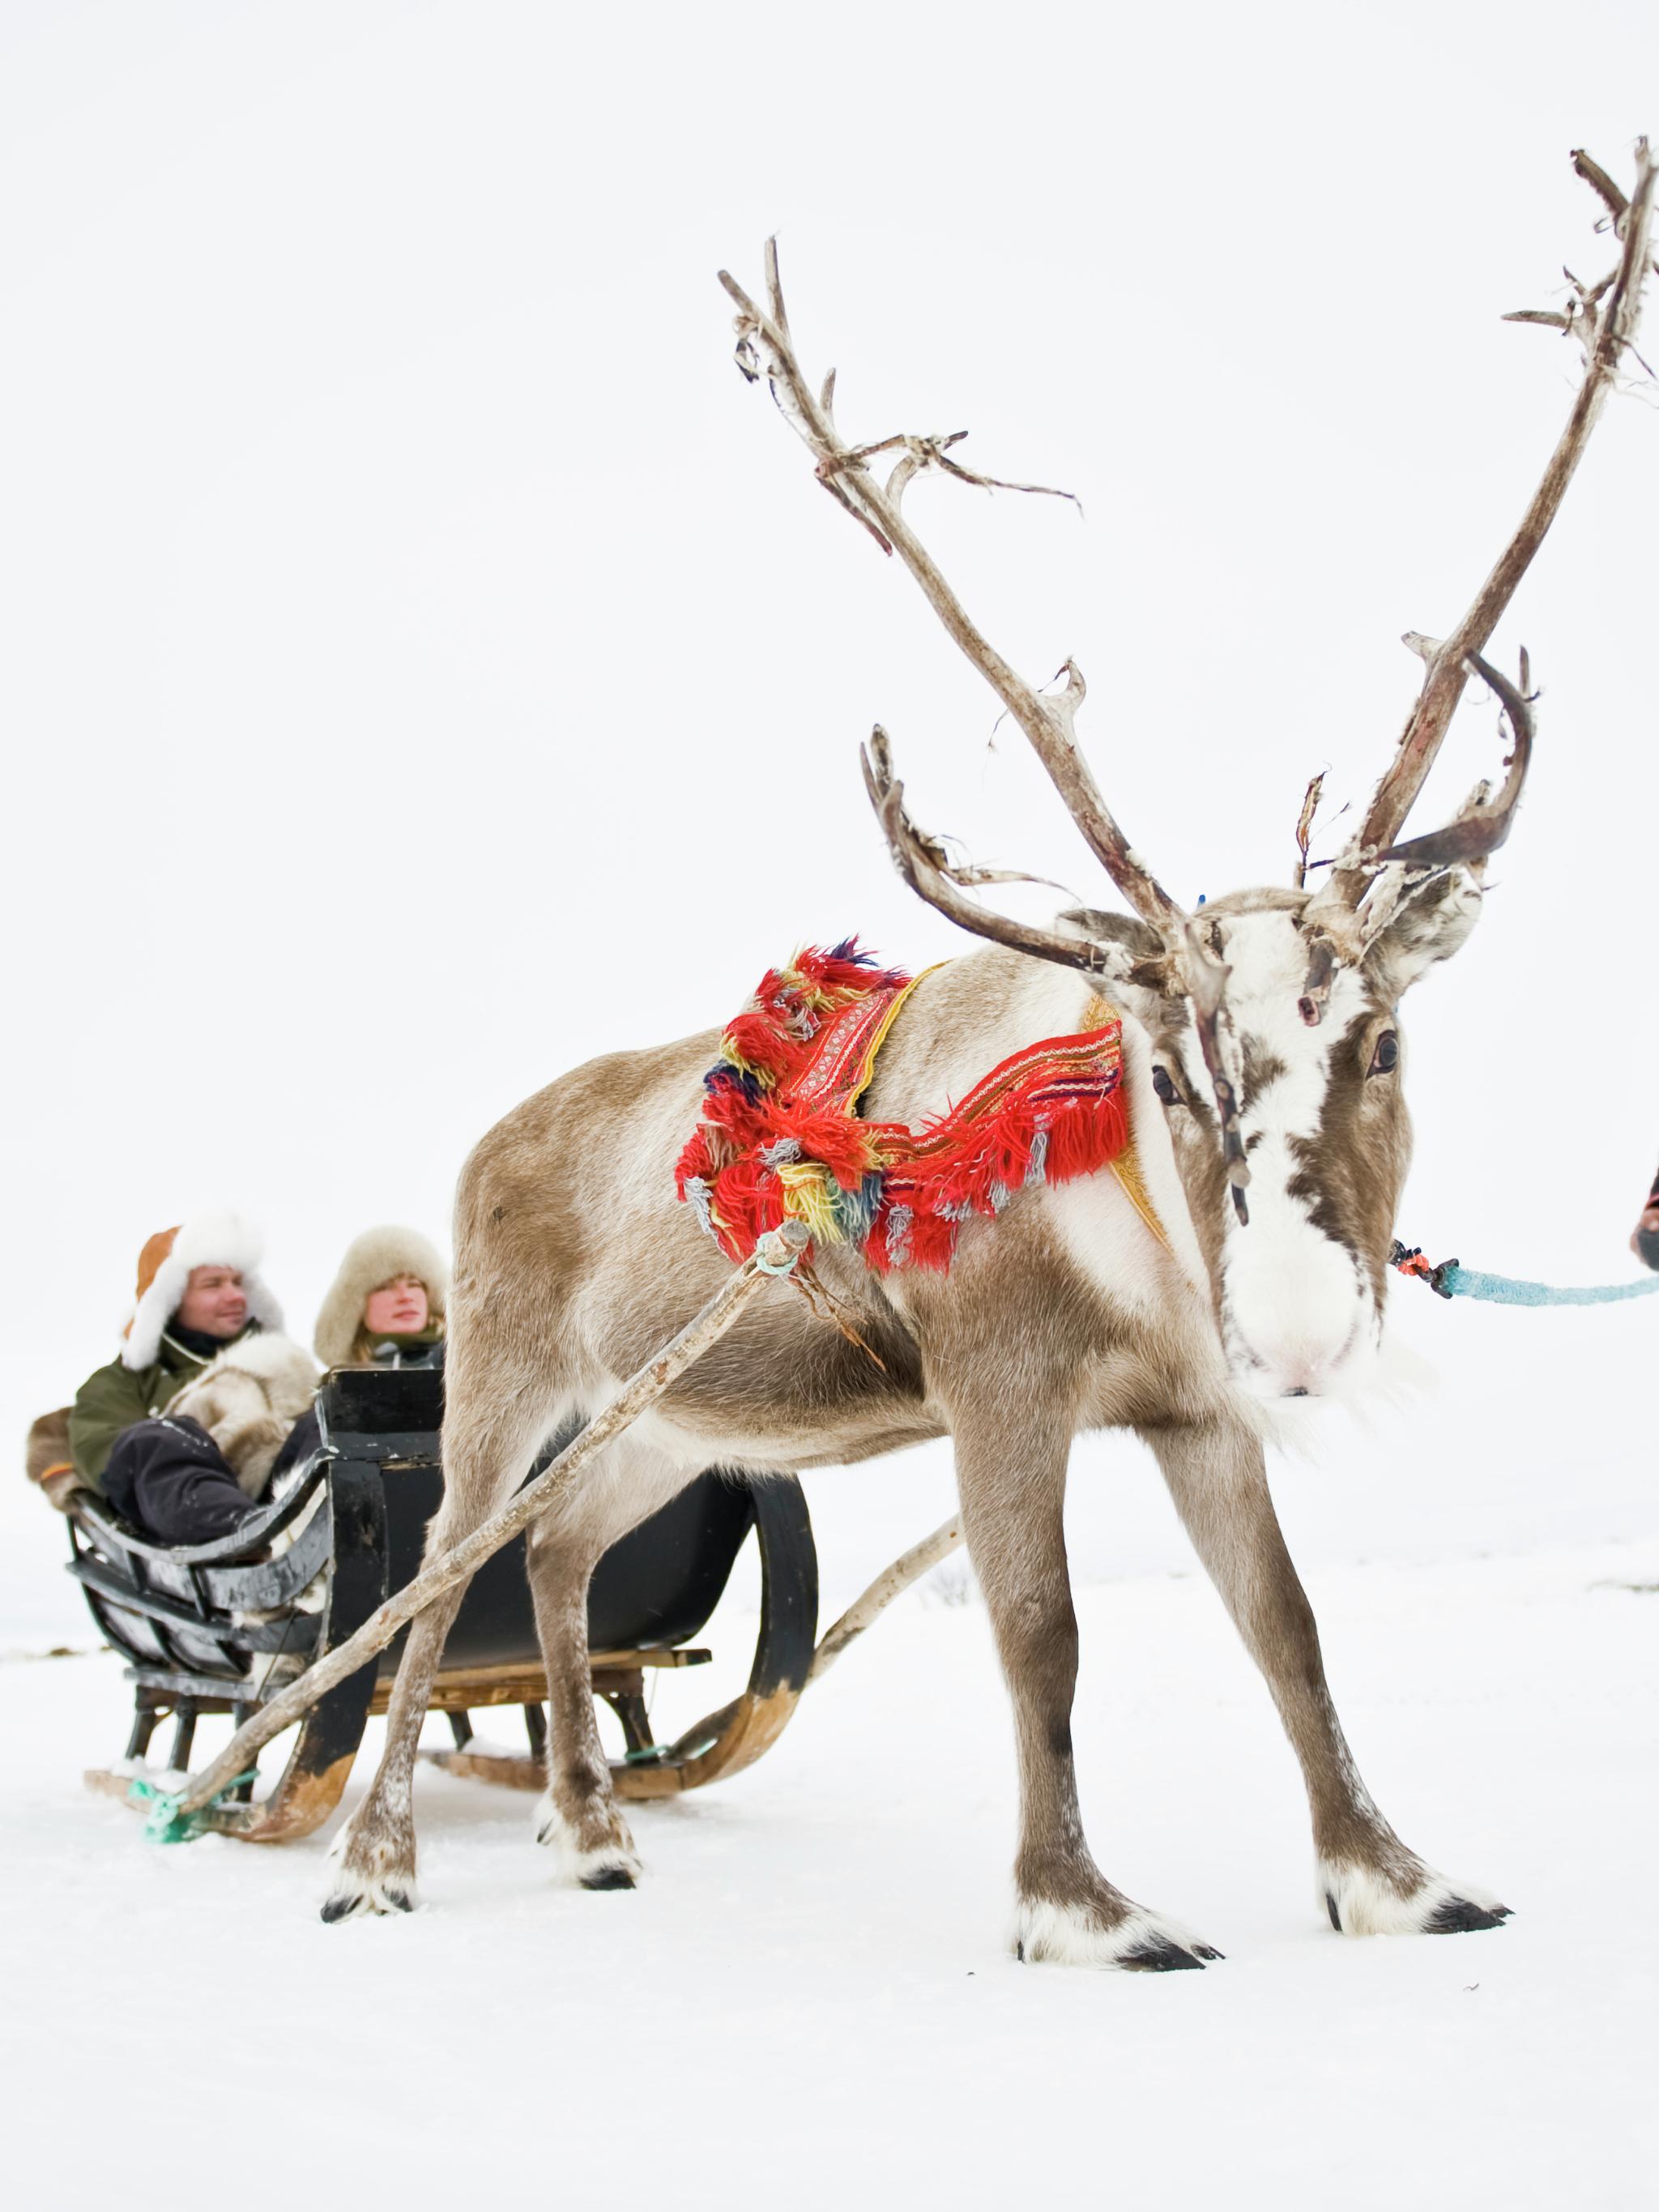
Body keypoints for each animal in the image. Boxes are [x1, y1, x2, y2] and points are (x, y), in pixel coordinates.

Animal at [324, 145, 1654, 1967]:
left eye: (1379, 1038)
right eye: (1168, 1065)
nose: (1302, 1331)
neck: (1137, 1242)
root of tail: (491, 1135)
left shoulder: (1192, 1408)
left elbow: (1288, 1629)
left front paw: (1393, 1879)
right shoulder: (998, 1386)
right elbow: (1039, 1631)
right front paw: (1083, 1911)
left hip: (669, 1421)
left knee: (564, 1561)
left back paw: (591, 1832)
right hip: (504, 1386)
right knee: (438, 1581)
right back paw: (374, 1859)